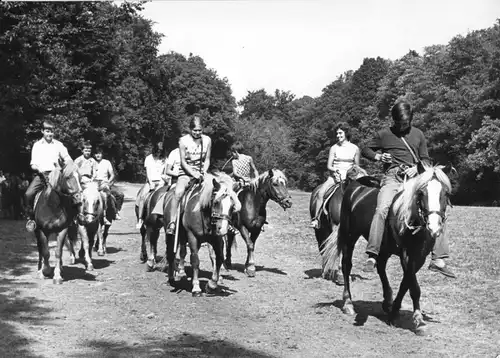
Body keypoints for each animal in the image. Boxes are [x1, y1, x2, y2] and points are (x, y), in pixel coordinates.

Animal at [322, 163, 452, 336]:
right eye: (421, 193)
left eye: (445, 193)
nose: (434, 226)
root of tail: (355, 187)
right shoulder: (406, 255)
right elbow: (414, 287)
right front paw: (418, 321)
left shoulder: (419, 257)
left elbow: (406, 284)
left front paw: (396, 312)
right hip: (349, 235)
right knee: (346, 265)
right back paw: (348, 303)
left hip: (383, 247)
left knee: (381, 267)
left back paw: (387, 301)